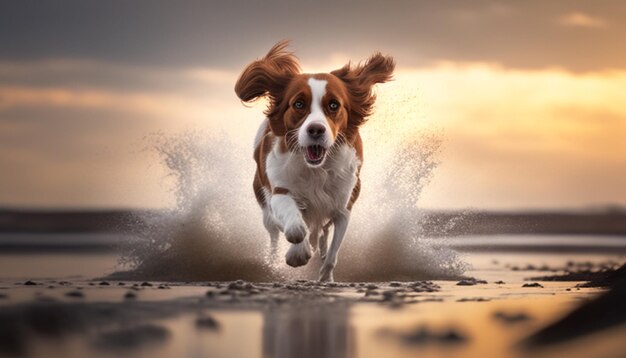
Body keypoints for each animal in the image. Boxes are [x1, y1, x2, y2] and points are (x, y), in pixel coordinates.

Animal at [234, 41, 394, 282]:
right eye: (299, 104)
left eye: (334, 105)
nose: (316, 129)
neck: (316, 169)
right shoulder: (280, 190)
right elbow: (295, 226)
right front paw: (298, 252)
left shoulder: (343, 206)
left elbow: (333, 253)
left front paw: (325, 277)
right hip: (265, 208)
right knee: (275, 234)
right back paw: (274, 260)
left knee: (323, 234)